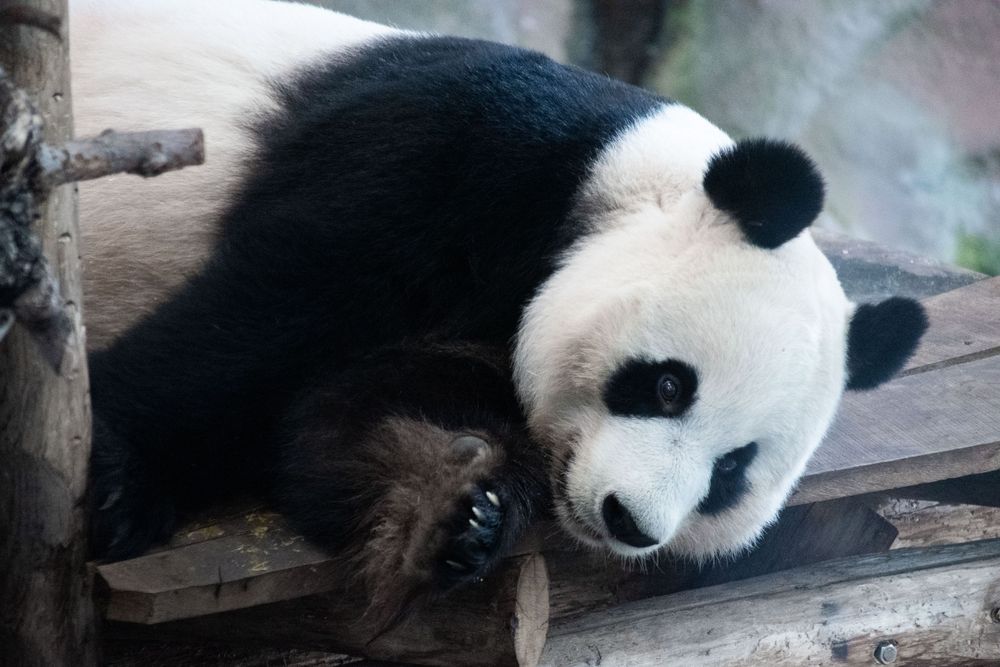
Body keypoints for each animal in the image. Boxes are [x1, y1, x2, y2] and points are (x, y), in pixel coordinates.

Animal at [71, 0, 926, 611]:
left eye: (732, 471)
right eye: (668, 385)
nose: (629, 520)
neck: (618, 182)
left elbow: (344, 418)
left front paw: (452, 515)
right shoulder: (452, 152)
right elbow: (262, 318)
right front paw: (121, 482)